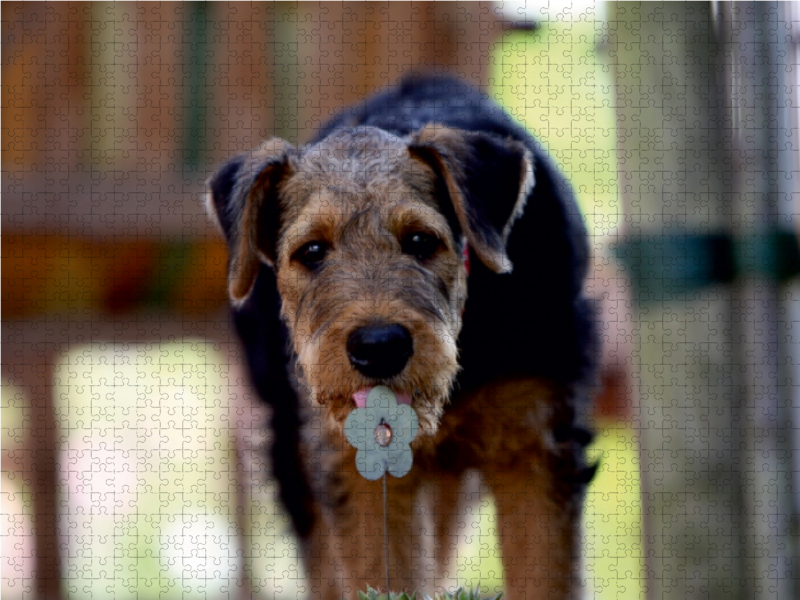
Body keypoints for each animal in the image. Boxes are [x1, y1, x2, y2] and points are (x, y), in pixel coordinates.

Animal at [206, 75, 592, 600]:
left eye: (420, 241)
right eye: (312, 251)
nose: (379, 348)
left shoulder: (536, 444)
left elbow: (544, 573)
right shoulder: (357, 464)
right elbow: (378, 570)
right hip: (292, 447)